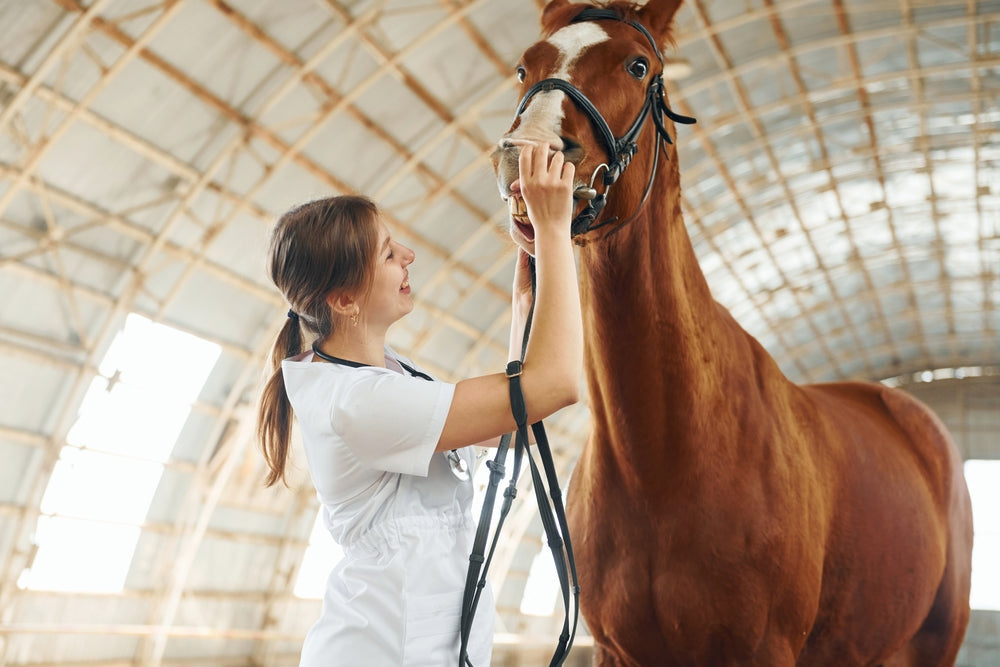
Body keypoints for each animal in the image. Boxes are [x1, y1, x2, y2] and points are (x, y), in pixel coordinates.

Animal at [491, 1, 973, 664]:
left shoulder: (761, 649)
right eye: (524, 67)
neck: (662, 461)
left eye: (638, 66)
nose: (527, 155)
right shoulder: (617, 651)